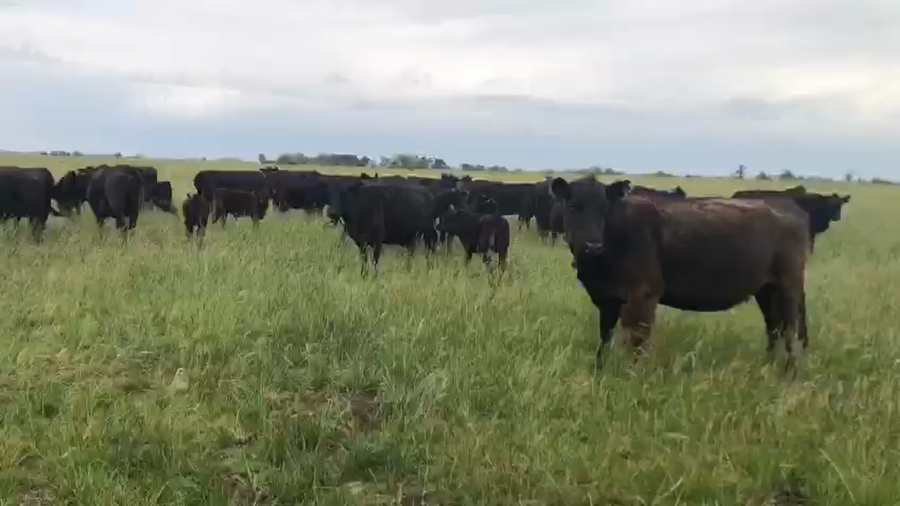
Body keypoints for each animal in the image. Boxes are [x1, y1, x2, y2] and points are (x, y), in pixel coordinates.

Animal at [549, 177, 810, 376]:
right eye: (572, 206)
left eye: (604, 208)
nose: (593, 244)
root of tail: (788, 206)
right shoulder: (607, 300)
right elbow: (605, 337)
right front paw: (599, 370)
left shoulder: (642, 295)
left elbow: (637, 340)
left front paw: (633, 375)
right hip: (766, 289)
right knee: (774, 327)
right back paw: (768, 366)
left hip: (789, 286)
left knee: (791, 330)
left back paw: (790, 373)